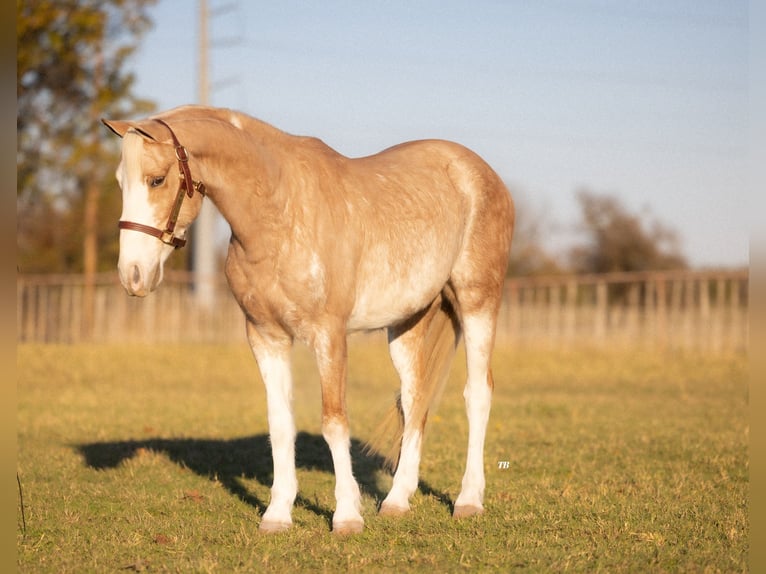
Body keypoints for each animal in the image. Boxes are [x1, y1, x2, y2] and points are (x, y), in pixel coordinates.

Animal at [99, 104, 512, 536]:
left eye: (157, 179)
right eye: (121, 182)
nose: (133, 276)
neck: (279, 214)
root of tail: (479, 172)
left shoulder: (328, 336)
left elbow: (334, 421)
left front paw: (346, 516)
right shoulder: (266, 337)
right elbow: (280, 424)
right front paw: (277, 514)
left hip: (478, 302)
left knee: (477, 394)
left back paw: (469, 500)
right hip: (407, 324)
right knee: (415, 399)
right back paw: (397, 501)